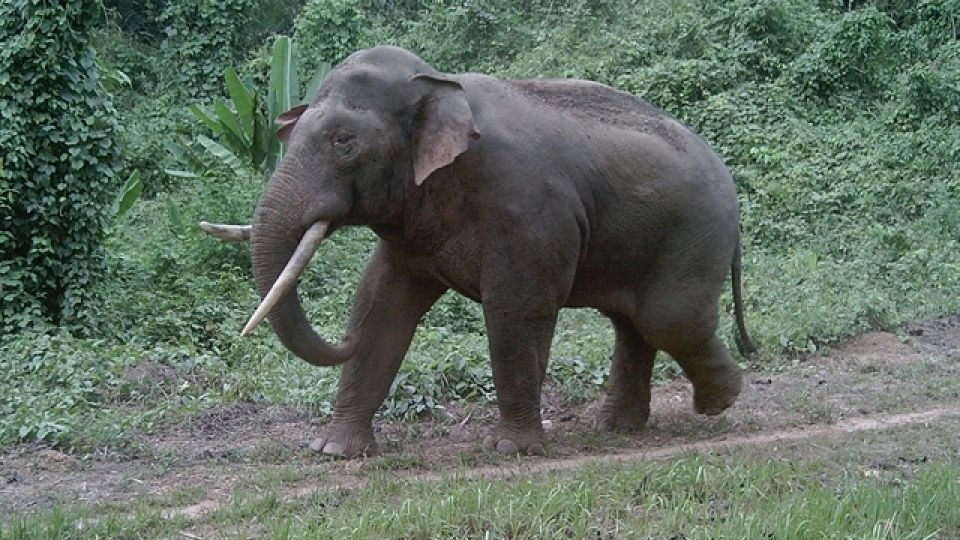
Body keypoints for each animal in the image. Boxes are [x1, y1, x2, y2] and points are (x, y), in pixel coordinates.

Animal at [201, 45, 755, 458]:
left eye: (344, 142)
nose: (341, 341)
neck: (440, 84)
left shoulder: (527, 206)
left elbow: (516, 306)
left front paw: (511, 448)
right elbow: (381, 303)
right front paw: (334, 451)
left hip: (694, 233)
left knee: (667, 318)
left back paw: (720, 401)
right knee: (633, 322)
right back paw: (619, 427)